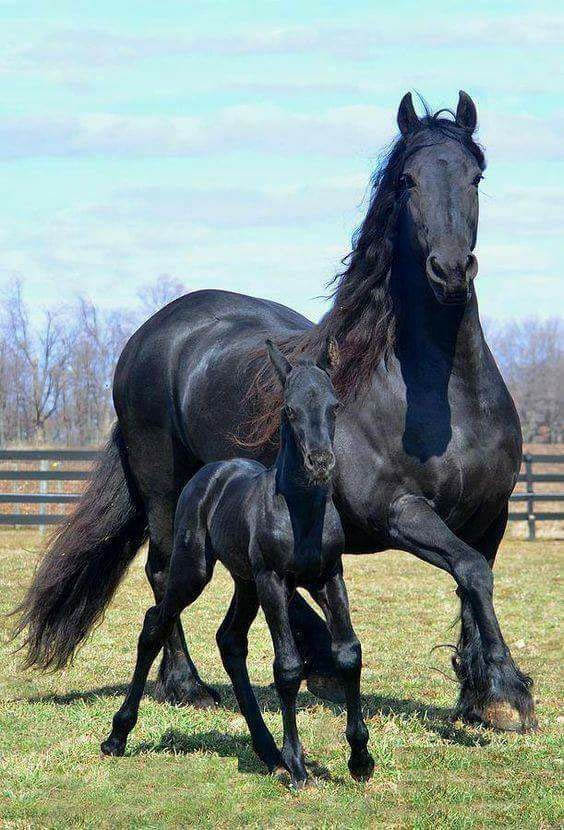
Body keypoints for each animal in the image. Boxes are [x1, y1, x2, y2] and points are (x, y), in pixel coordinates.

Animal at [101, 336, 374, 788]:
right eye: (289, 409)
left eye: (334, 406)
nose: (320, 463)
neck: (300, 513)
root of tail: (208, 474)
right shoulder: (274, 581)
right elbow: (288, 667)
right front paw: (299, 767)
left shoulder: (329, 577)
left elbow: (349, 653)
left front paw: (360, 759)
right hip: (198, 570)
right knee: (155, 623)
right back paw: (117, 737)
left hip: (246, 584)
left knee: (229, 640)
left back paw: (268, 752)